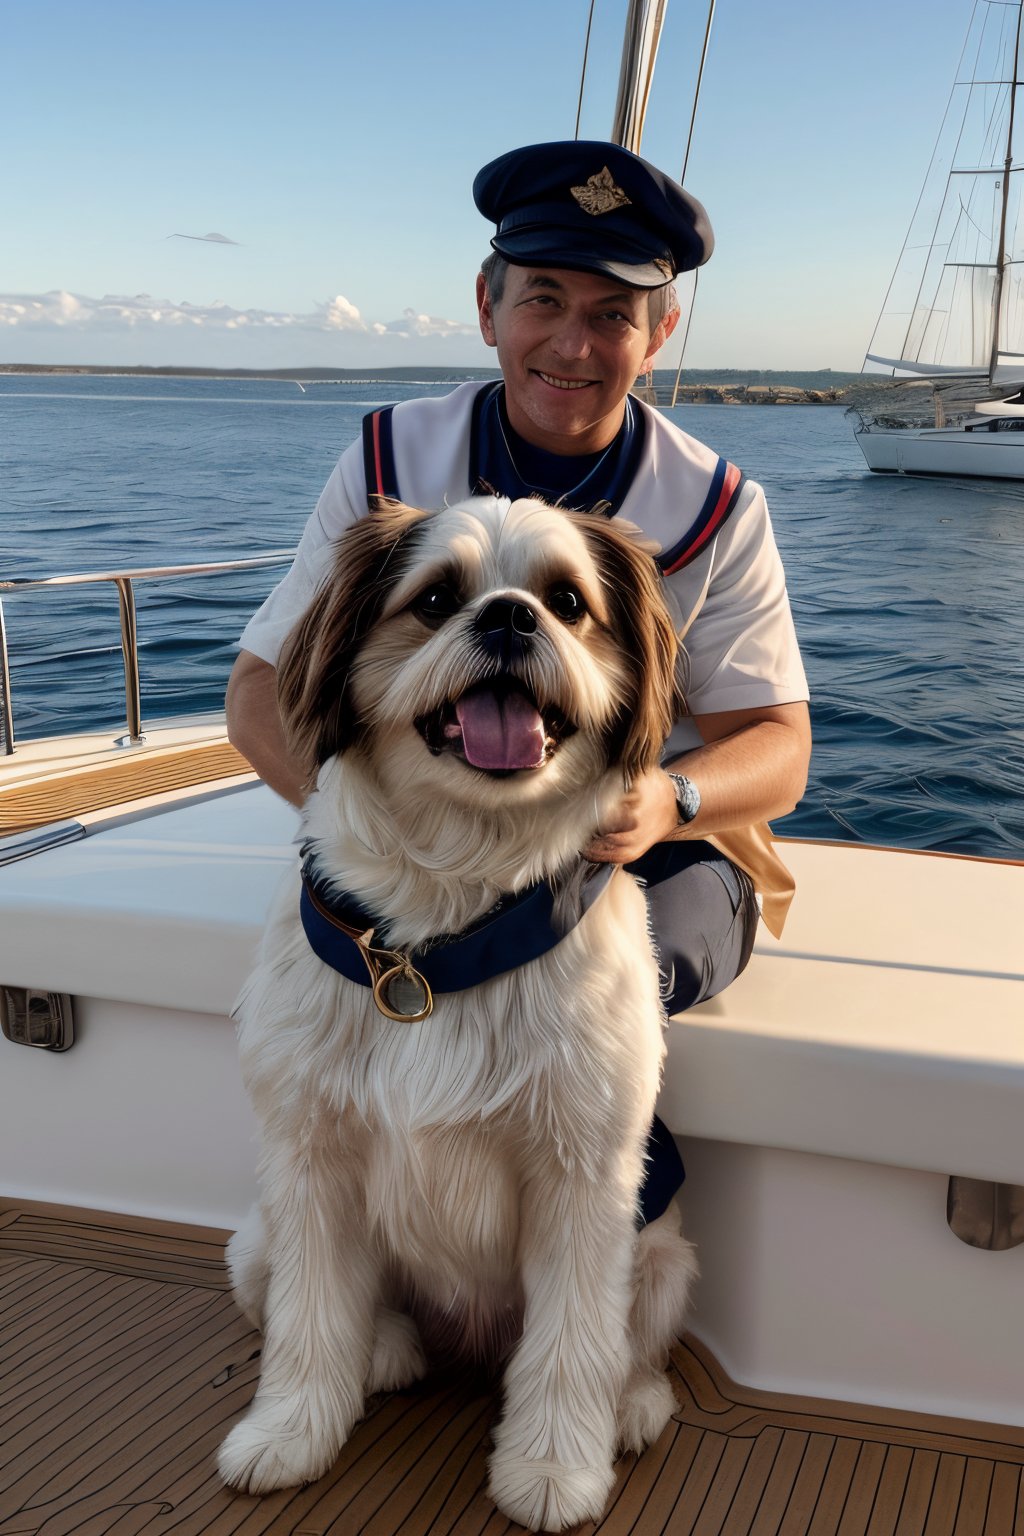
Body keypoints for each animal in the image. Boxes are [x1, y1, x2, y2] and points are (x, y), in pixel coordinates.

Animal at [221, 497, 700, 1529]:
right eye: (437, 598)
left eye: (569, 601)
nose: (512, 616)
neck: (439, 934)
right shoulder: (308, 1160)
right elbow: (310, 1318)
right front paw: (289, 1432)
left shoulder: (585, 1177)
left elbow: (574, 1341)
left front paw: (555, 1468)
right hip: (253, 1244)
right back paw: (385, 1350)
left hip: (661, 1258)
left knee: (627, 1344)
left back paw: (631, 1405)